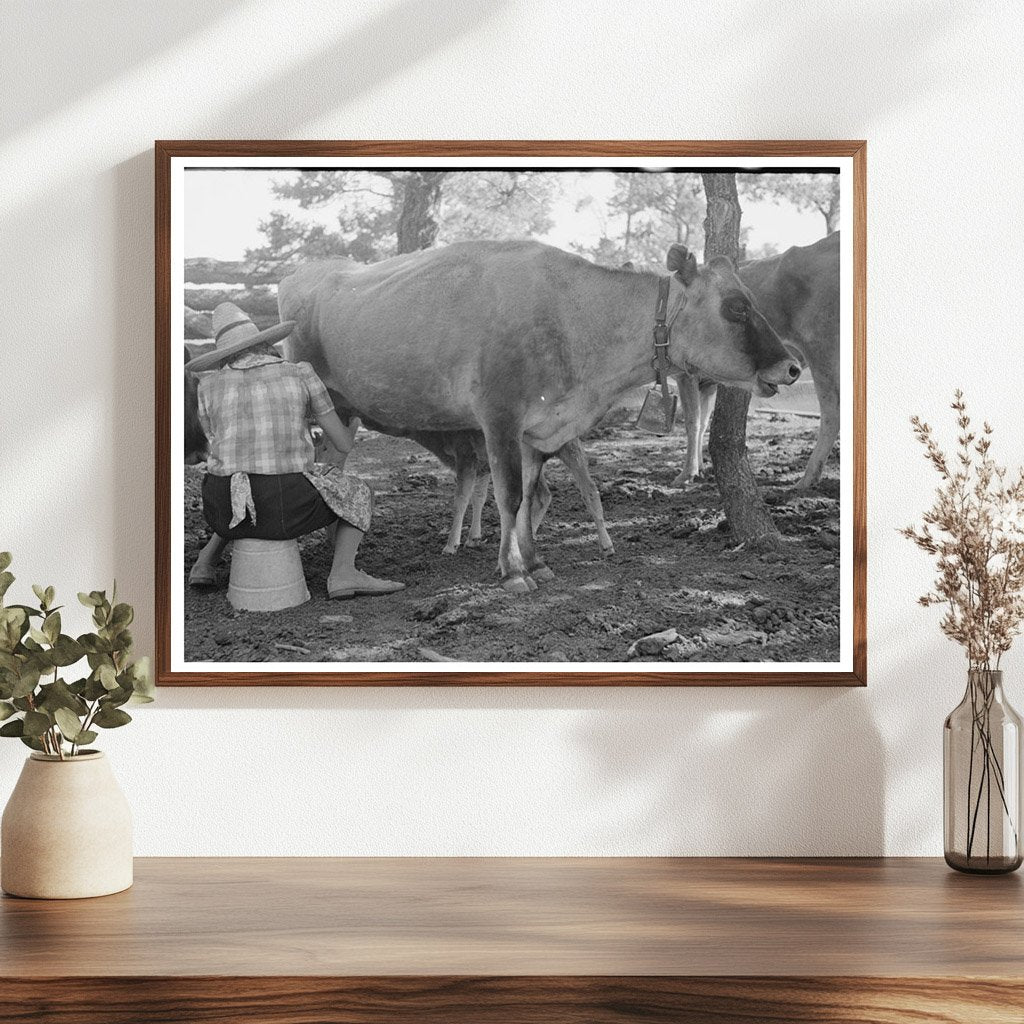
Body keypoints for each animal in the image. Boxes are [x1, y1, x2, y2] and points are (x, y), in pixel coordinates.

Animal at [278, 239, 801, 593]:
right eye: (736, 307)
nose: (792, 366)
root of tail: (305, 272)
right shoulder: (500, 417)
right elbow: (509, 497)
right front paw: (512, 573)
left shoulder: (537, 431)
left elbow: (529, 497)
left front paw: (534, 563)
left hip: (343, 413)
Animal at [670, 232, 840, 490]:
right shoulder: (706, 379)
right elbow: (704, 420)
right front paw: (699, 468)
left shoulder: (685, 373)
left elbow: (693, 422)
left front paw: (687, 473)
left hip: (822, 352)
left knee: (832, 413)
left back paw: (807, 478)